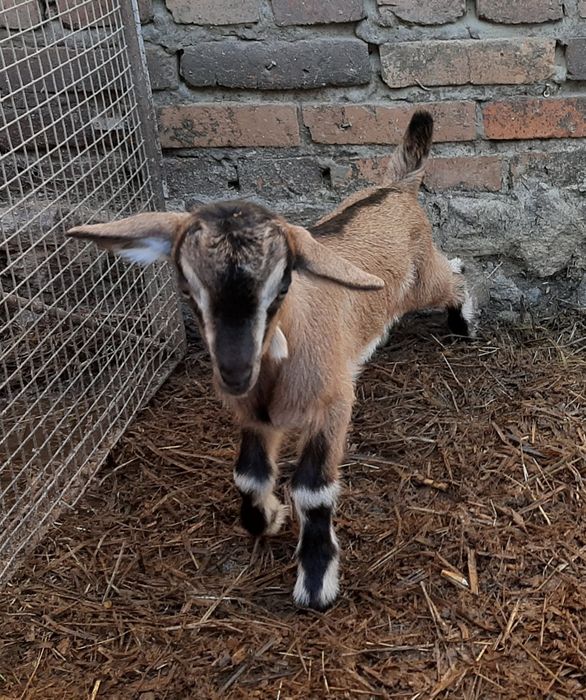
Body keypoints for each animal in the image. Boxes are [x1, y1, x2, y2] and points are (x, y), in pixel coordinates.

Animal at [67, 111, 475, 611]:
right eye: (186, 287)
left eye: (282, 285)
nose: (235, 370)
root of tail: (396, 187)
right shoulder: (256, 415)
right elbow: (248, 474)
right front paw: (267, 517)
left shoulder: (333, 404)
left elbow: (313, 490)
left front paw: (316, 582)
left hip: (420, 282)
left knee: (453, 273)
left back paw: (463, 322)